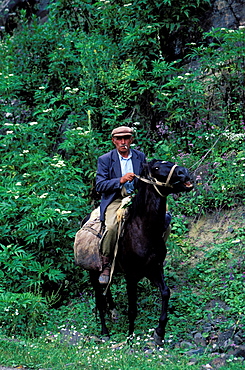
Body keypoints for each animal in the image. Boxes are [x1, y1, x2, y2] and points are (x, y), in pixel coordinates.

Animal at [88, 160, 193, 346]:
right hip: (93, 273)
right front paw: (130, 337)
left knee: (107, 291)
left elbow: (166, 292)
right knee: (100, 301)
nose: (184, 172)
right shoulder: (131, 276)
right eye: (156, 168)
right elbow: (132, 309)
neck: (144, 231)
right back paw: (105, 332)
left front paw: (159, 332)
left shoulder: (154, 269)